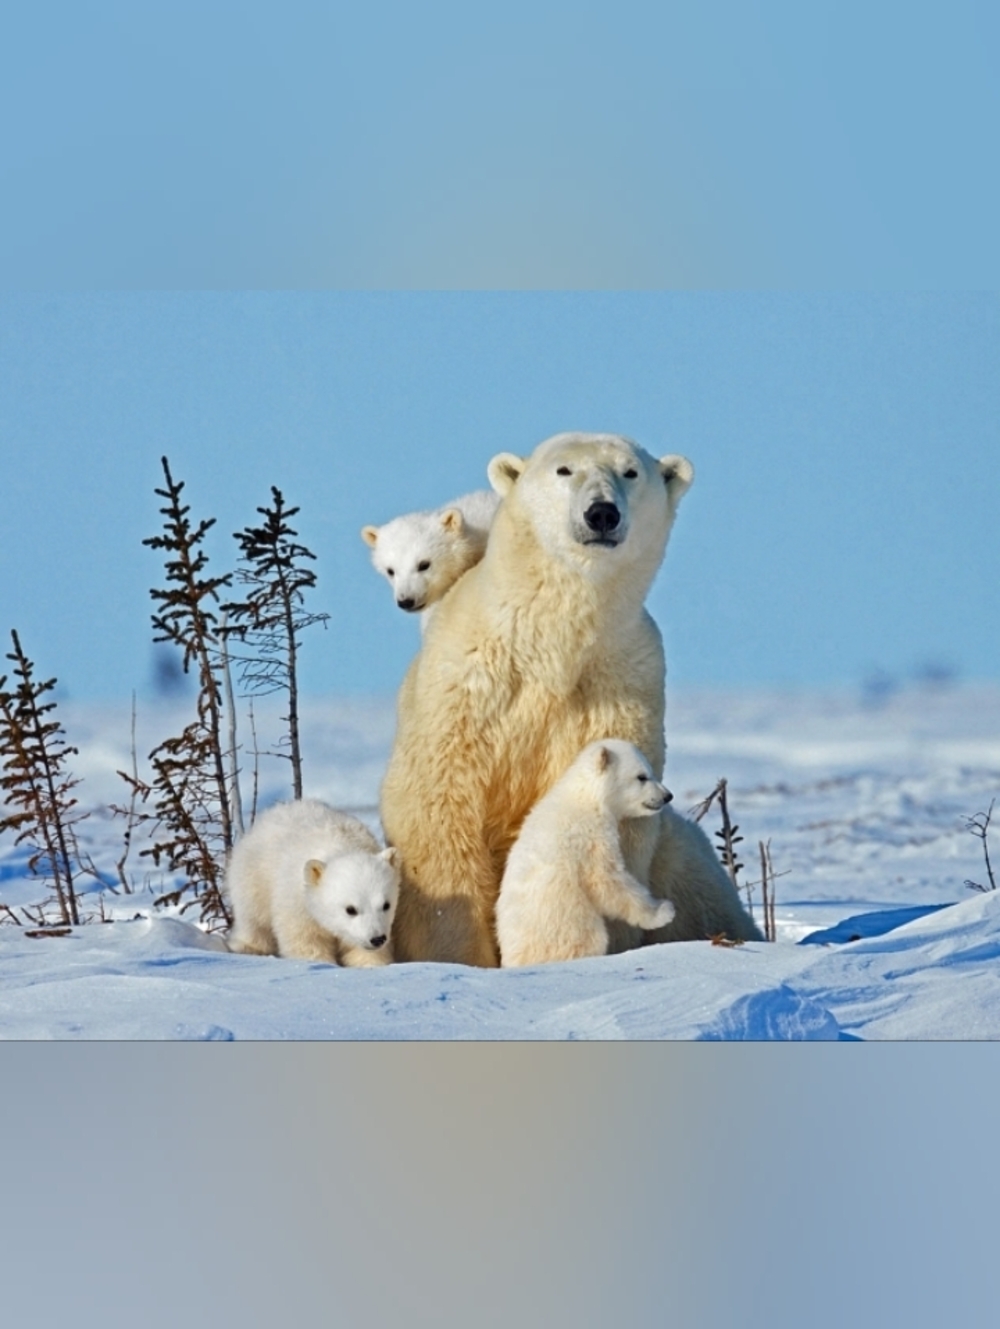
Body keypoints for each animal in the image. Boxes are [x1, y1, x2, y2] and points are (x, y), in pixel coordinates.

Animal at [225, 798, 401, 966]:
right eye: (350, 909)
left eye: (386, 905)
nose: (377, 939)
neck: (342, 846)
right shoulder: (298, 904)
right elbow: (305, 939)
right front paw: (318, 962)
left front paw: (371, 964)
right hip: (253, 876)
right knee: (253, 918)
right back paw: (247, 946)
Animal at [496, 740, 677, 967]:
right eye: (642, 776)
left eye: (651, 771)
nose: (667, 796)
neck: (586, 798)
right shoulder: (591, 836)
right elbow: (606, 880)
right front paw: (663, 911)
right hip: (568, 926)